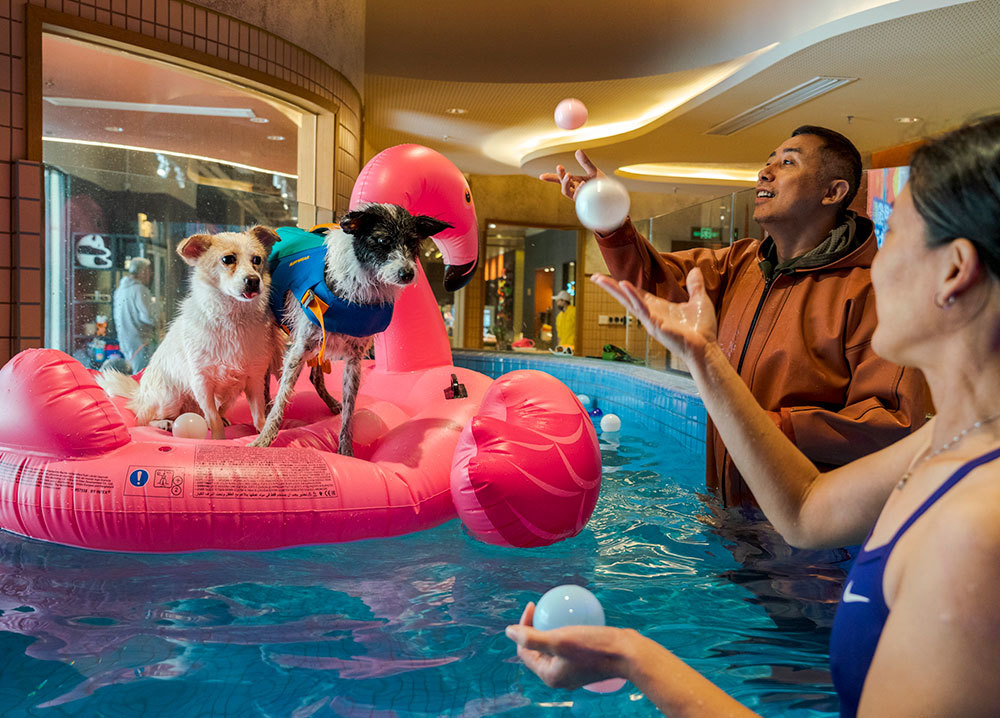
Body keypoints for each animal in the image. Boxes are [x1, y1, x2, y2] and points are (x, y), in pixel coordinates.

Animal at [98, 226, 284, 438]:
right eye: (228, 259)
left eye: (257, 260)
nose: (253, 280)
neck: (233, 318)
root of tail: (138, 396)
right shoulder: (202, 383)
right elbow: (213, 419)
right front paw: (218, 439)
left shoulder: (254, 380)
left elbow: (258, 414)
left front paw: (264, 434)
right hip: (169, 397)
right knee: (143, 420)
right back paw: (163, 423)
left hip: (231, 396)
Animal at [250, 202, 454, 456]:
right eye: (381, 240)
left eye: (413, 242)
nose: (407, 273)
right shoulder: (298, 350)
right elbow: (282, 398)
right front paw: (265, 439)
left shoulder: (354, 361)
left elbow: (349, 411)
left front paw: (346, 451)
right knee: (266, 378)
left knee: (315, 377)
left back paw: (331, 404)